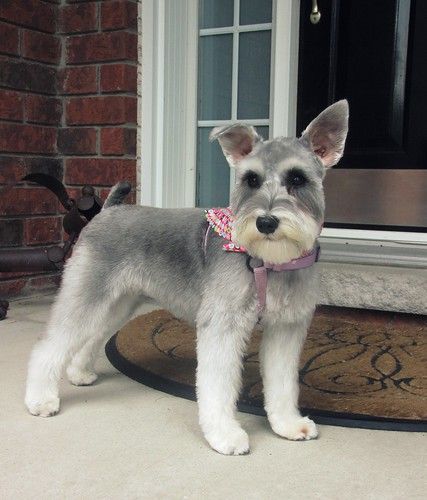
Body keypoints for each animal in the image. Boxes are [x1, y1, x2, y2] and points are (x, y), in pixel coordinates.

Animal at [25, 99, 350, 456]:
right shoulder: (222, 326)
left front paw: (288, 424)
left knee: (93, 334)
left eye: (297, 178)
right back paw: (40, 399)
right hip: (87, 293)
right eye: (250, 179)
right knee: (51, 345)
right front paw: (225, 435)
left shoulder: (286, 329)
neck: (269, 262)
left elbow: (282, 383)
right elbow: (218, 385)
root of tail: (108, 210)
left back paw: (80, 371)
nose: (265, 222)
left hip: (118, 303)